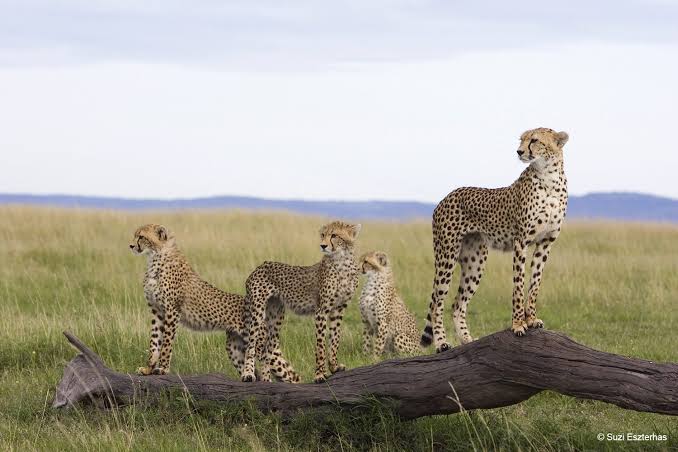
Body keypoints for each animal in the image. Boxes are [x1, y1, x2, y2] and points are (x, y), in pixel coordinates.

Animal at [129, 223, 299, 382]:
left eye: (141, 237)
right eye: (135, 235)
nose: (131, 246)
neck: (156, 257)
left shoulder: (172, 310)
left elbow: (166, 343)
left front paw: (162, 368)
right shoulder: (157, 311)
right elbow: (154, 341)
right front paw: (148, 368)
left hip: (259, 344)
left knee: (292, 375)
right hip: (234, 348)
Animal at [240, 221, 361, 383]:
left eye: (334, 235)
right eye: (323, 235)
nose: (323, 245)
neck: (342, 261)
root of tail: (258, 267)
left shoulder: (339, 309)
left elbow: (335, 339)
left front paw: (334, 366)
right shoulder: (321, 311)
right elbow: (321, 345)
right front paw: (320, 375)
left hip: (276, 316)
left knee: (269, 348)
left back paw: (266, 380)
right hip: (258, 311)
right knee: (251, 344)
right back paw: (247, 374)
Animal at [421, 127, 569, 352]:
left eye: (534, 140)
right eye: (522, 140)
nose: (519, 151)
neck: (549, 177)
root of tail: (447, 196)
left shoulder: (545, 243)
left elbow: (534, 284)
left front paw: (532, 319)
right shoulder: (521, 241)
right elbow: (519, 285)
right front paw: (518, 324)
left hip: (475, 262)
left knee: (457, 304)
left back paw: (467, 340)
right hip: (446, 256)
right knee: (437, 302)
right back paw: (441, 343)